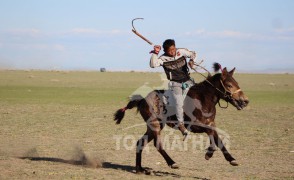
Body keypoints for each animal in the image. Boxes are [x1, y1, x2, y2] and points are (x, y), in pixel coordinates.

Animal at [112, 64, 248, 174]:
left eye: (237, 83)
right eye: (229, 85)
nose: (245, 101)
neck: (203, 99)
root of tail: (142, 100)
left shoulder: (211, 124)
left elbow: (218, 140)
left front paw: (231, 159)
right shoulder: (195, 126)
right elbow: (211, 136)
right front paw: (209, 153)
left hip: (154, 126)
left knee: (140, 143)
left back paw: (140, 169)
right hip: (155, 125)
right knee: (158, 144)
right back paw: (172, 163)